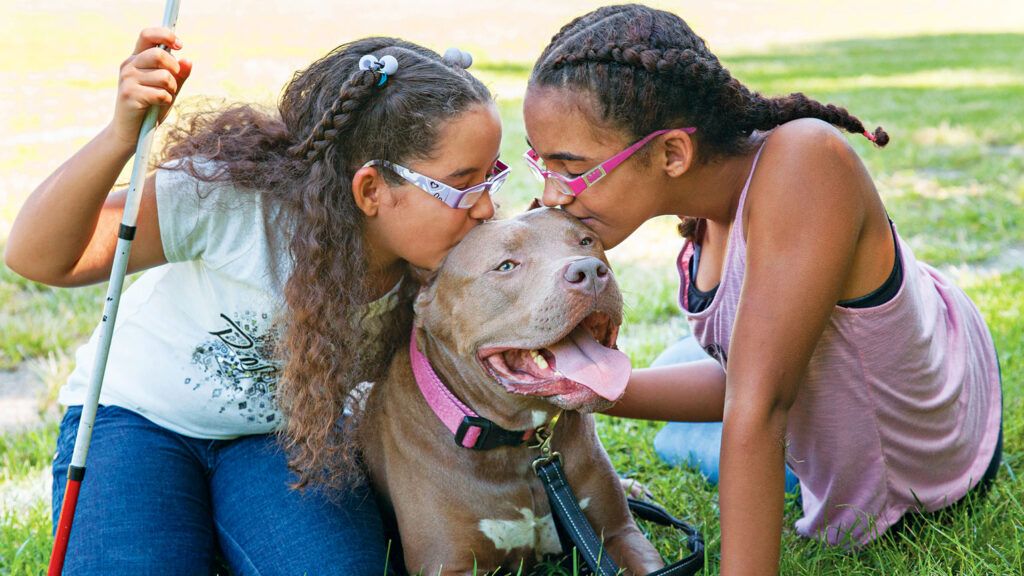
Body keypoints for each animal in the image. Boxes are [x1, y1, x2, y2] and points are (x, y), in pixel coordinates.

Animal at [360, 207, 663, 573]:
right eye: (506, 266)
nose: (590, 270)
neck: (519, 445)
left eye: (586, 241)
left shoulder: (618, 534)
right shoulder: (449, 566)